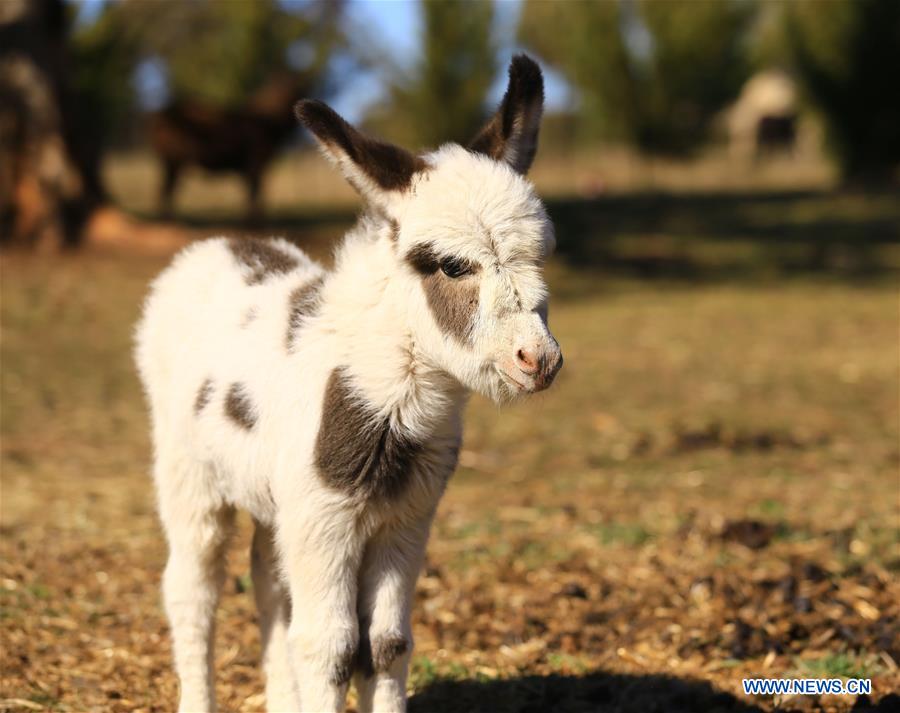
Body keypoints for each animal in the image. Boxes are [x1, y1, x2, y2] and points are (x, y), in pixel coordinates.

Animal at [134, 57, 564, 712]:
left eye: (540, 257)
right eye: (450, 265)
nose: (538, 361)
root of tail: (215, 245)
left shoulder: (403, 519)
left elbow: (385, 644)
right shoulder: (326, 520)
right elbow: (331, 646)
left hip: (273, 499)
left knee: (268, 582)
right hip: (190, 473)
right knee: (193, 588)